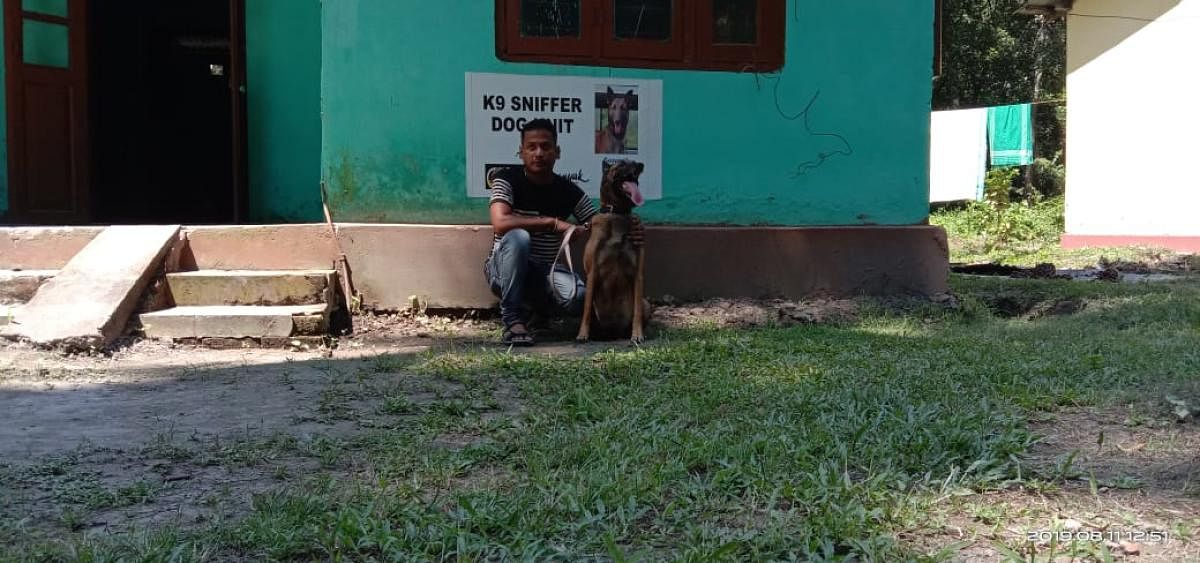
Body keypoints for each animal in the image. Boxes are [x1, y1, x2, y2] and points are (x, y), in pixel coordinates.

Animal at [578, 158, 648, 343]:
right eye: (622, 163)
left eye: (634, 162)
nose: (641, 165)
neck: (618, 213)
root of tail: (614, 332)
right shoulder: (592, 273)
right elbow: (586, 310)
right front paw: (582, 334)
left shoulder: (638, 274)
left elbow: (636, 312)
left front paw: (637, 334)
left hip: (646, 303)